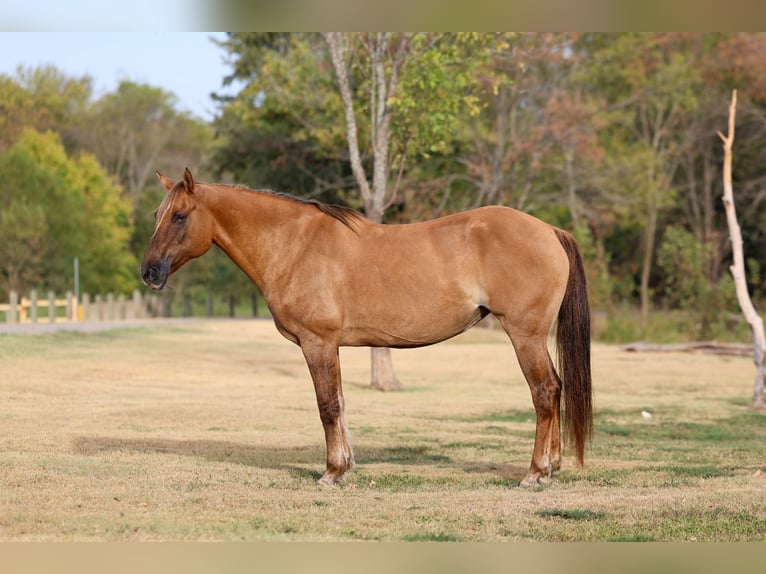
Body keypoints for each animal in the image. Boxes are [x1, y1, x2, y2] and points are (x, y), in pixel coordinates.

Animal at [141, 168, 592, 487]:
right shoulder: (331, 346)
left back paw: (535, 473)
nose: (149, 272)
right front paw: (346, 465)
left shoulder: (317, 343)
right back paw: (552, 466)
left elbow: (327, 405)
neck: (294, 245)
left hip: (525, 335)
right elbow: (340, 401)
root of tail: (550, 230)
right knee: (555, 388)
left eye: (179, 216)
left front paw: (331, 472)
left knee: (544, 391)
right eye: (157, 216)